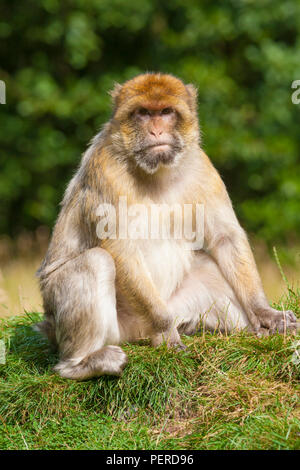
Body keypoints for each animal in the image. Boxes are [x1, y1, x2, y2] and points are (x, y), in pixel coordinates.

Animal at [35, 74, 298, 382]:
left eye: (166, 112)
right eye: (143, 113)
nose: (157, 131)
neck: (155, 172)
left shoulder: (202, 167)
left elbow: (225, 237)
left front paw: (264, 312)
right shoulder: (105, 168)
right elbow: (120, 249)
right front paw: (165, 332)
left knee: (209, 267)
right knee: (96, 262)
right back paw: (81, 364)